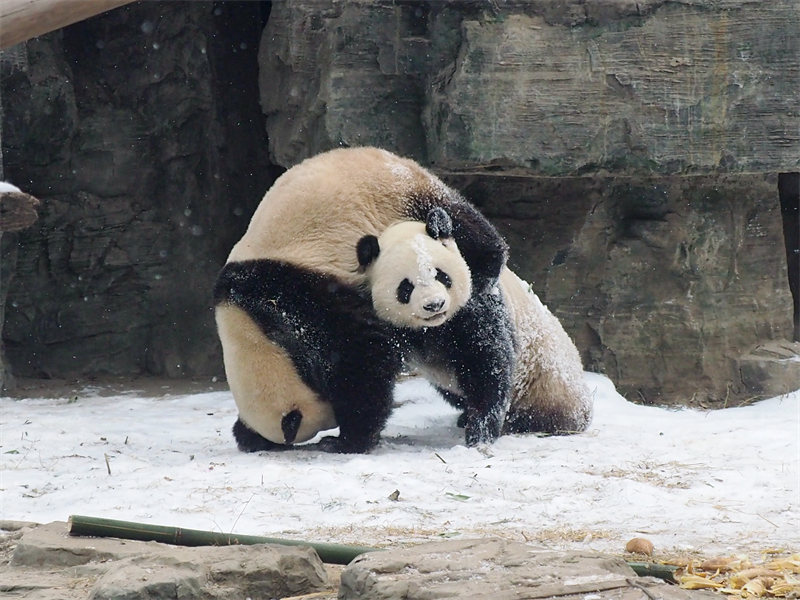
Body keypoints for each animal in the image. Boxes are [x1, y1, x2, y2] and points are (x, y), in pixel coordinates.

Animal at [216, 148, 510, 452]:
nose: (331, 421)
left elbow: (359, 356)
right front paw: (247, 435)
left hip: (400, 196)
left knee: (462, 223)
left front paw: (346, 438)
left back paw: (488, 264)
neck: (251, 329)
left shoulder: (296, 297)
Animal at [360, 214, 592, 436]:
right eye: (406, 287)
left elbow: (488, 363)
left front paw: (480, 431)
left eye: (440, 275)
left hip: (548, 387)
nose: (435, 304)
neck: (432, 328)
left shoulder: (476, 303)